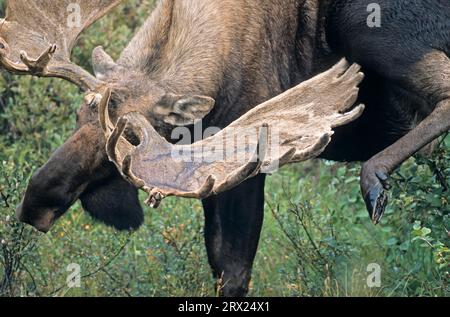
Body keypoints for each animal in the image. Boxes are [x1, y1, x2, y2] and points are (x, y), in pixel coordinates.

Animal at [0, 0, 448, 296]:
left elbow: (234, 271)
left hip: (362, 23)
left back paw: (374, 178)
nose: (35, 201)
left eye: (130, 138)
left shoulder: (246, 167)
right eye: (79, 114)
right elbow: (217, 262)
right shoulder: (209, 175)